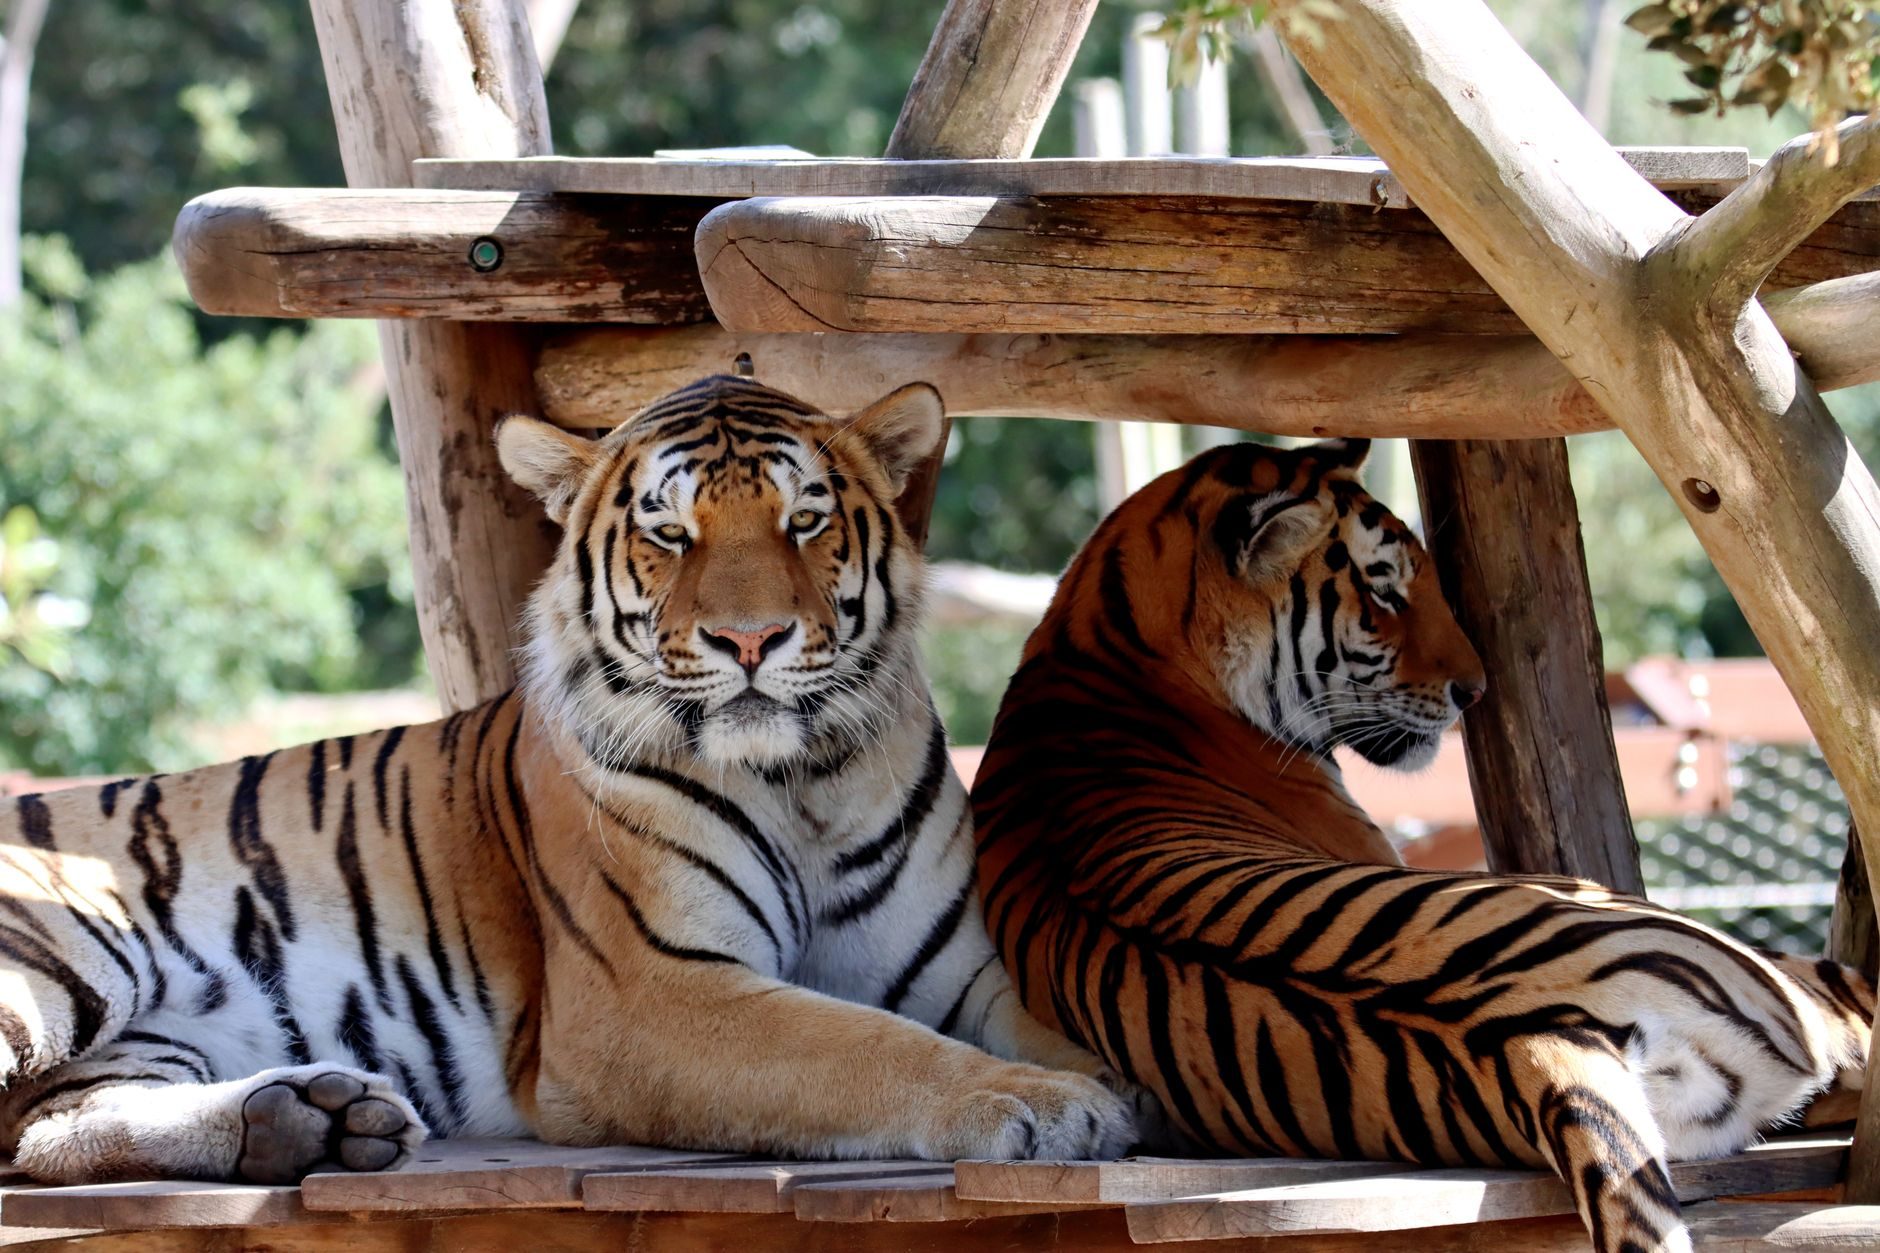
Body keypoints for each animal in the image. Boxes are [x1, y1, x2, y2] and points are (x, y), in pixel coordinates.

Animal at [0, 374, 1134, 1186]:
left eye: (804, 519)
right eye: (669, 531)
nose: (751, 639)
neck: (799, 775)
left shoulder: (960, 968)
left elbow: (1054, 1022)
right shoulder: (654, 993)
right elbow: (869, 1048)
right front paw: (1049, 1102)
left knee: (55, 1124)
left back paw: (309, 1122)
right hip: (56, 961)